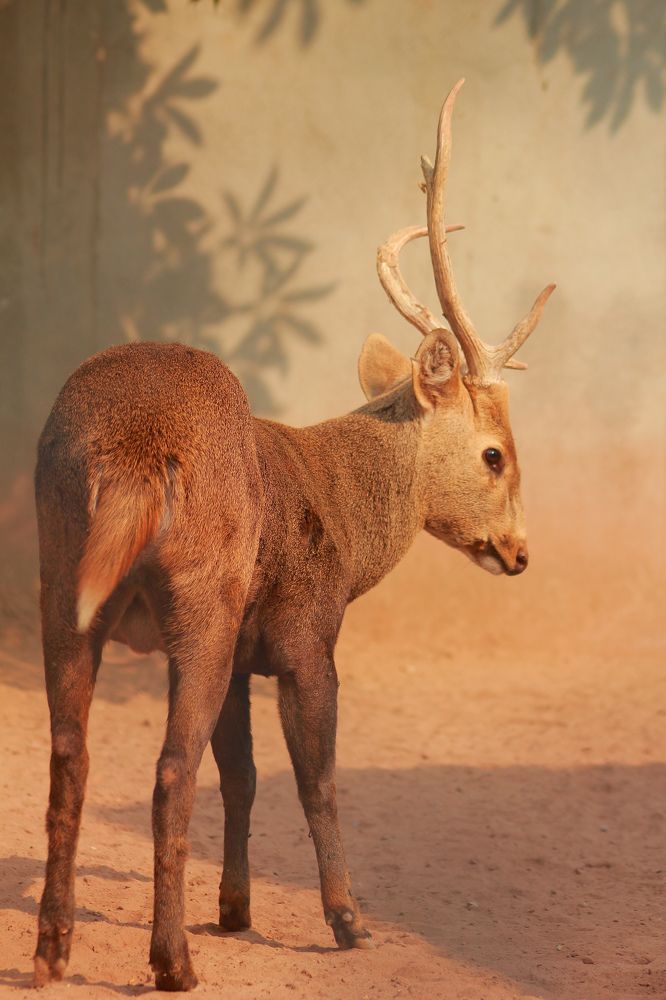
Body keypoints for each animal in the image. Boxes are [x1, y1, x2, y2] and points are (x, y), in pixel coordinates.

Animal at [33, 78, 554, 991]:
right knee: (168, 771)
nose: (520, 551)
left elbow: (243, 775)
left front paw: (236, 908)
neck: (342, 511)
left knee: (71, 756)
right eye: (495, 453)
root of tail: (133, 449)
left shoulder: (247, 651)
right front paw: (348, 921)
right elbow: (317, 780)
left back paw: (54, 950)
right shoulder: (308, 633)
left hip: (58, 574)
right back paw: (172, 963)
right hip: (200, 598)